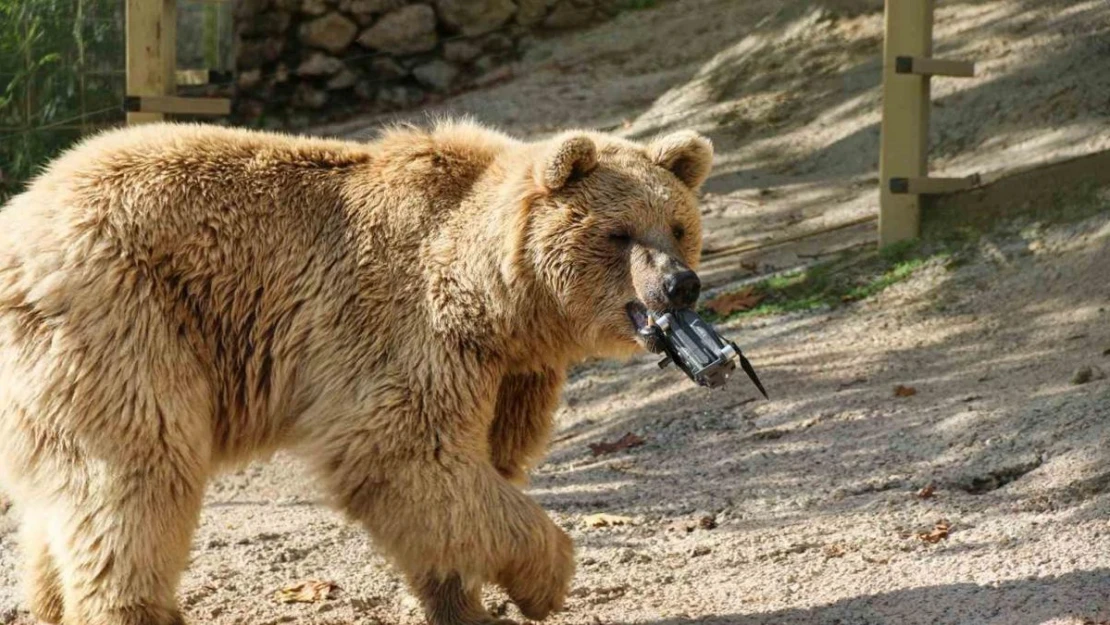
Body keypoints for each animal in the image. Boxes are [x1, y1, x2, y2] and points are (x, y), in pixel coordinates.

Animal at [0, 118, 710, 625]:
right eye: (619, 233)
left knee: (64, 497)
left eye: (678, 226)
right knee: (139, 473)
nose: (681, 284)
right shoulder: (407, 327)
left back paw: (53, 603)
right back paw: (137, 609)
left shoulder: (511, 372)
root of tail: (19, 220)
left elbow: (469, 478)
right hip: (125, 318)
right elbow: (407, 453)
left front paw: (463, 602)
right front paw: (547, 578)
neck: (502, 301)